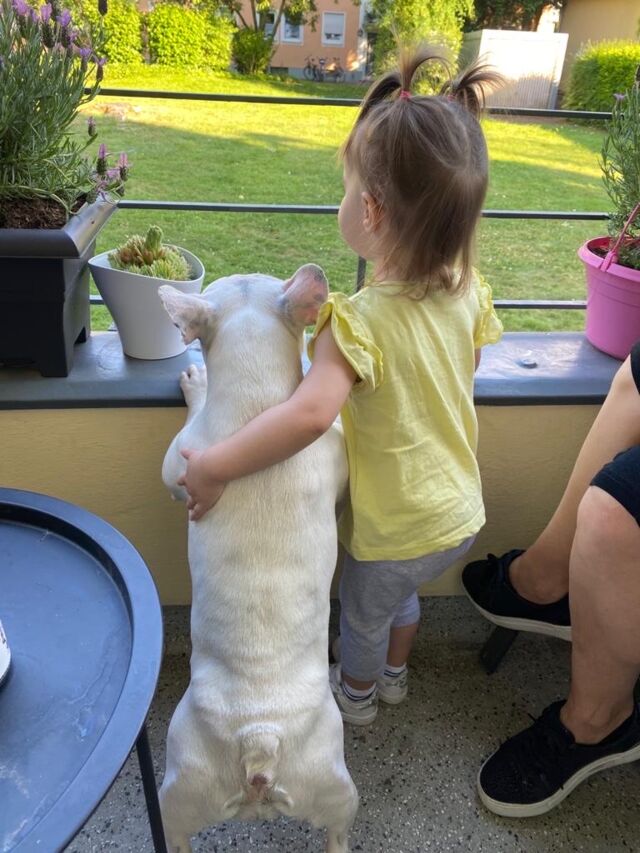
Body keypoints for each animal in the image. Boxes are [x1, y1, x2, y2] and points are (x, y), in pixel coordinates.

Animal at [158, 265, 358, 852]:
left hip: (181, 782)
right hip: (332, 784)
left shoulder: (179, 459)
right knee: (338, 833)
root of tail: (259, 737)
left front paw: (196, 383)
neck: (256, 401)